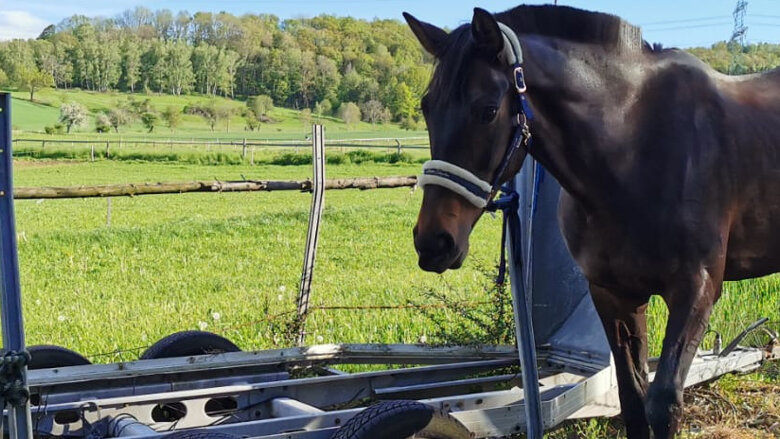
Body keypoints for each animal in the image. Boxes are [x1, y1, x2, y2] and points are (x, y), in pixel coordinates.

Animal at [405, 5, 780, 438]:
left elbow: (663, 404)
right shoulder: (613, 295)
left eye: (487, 110)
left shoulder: (696, 290)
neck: (635, 147)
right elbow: (633, 399)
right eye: (427, 107)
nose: (433, 241)